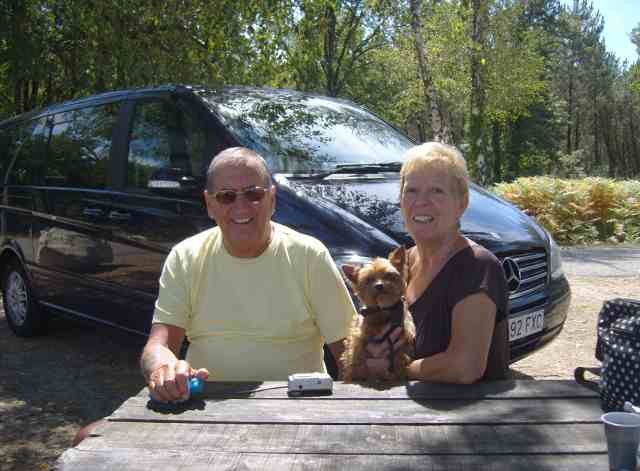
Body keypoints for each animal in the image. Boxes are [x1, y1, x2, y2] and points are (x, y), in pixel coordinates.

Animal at [340, 247, 416, 384]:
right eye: (368, 280)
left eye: (389, 275)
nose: (379, 285)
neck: (382, 310)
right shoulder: (359, 336)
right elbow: (356, 353)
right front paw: (356, 372)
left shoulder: (404, 336)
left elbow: (400, 354)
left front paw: (396, 373)